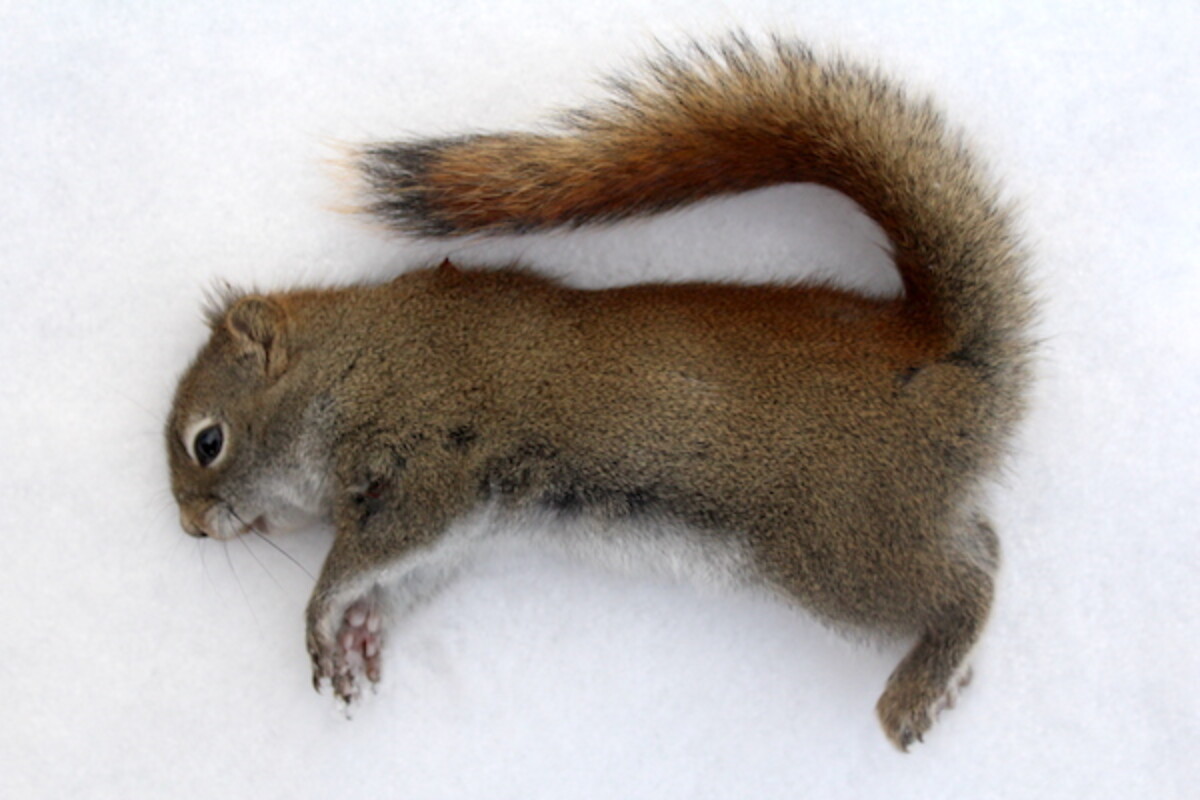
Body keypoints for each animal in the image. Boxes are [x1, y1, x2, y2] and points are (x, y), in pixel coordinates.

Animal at [167, 36, 1033, 750]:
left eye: (208, 441)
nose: (191, 530)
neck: (355, 359)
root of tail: (948, 358)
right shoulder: (466, 530)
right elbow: (408, 575)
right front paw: (360, 634)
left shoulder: (434, 455)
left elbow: (369, 549)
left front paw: (321, 613)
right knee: (985, 542)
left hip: (838, 540)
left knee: (968, 587)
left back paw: (918, 690)